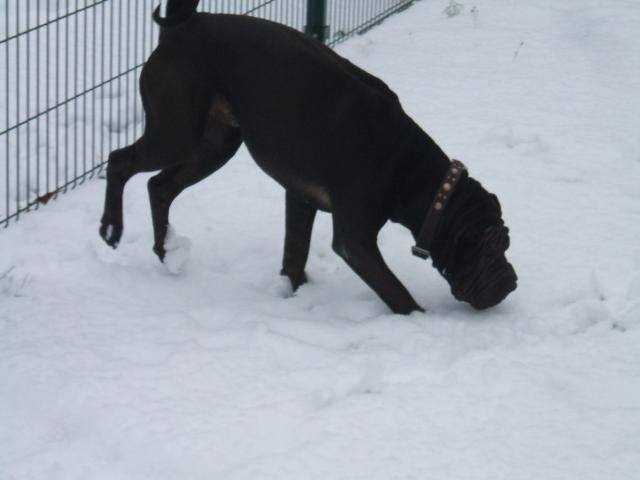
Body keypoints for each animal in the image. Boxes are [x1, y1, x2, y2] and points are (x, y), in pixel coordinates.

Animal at [99, 0, 517, 314]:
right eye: (493, 246)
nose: (511, 284)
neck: (408, 169)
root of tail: (183, 27)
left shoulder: (301, 197)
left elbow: (294, 255)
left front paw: (294, 294)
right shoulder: (354, 240)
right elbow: (399, 296)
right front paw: (419, 323)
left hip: (215, 144)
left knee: (160, 186)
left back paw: (166, 253)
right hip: (177, 133)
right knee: (120, 161)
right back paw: (111, 229)